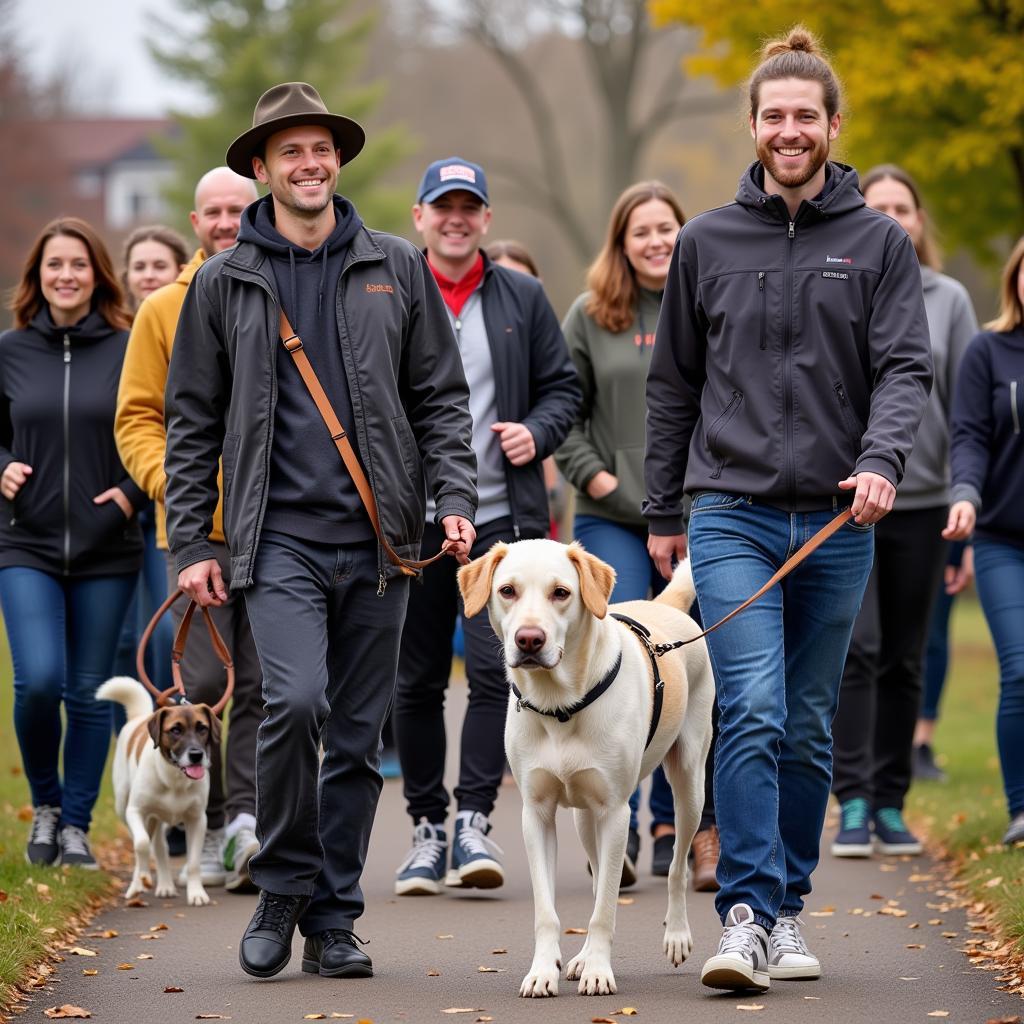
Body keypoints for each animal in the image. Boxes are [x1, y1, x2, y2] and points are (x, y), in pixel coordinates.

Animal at [96, 679, 220, 905]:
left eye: (202, 728)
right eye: (175, 730)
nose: (196, 755)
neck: (174, 779)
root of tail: (139, 717)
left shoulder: (197, 820)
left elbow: (194, 861)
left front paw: (196, 893)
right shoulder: (135, 812)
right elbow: (142, 844)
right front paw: (143, 878)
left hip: (159, 820)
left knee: (161, 847)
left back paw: (165, 885)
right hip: (124, 808)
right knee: (148, 845)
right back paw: (138, 884)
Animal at [460, 540, 716, 995]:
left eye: (561, 593)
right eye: (507, 591)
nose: (529, 639)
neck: (560, 705)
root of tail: (663, 604)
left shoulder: (615, 813)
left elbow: (605, 910)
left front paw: (598, 969)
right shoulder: (536, 815)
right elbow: (549, 910)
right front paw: (544, 971)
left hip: (690, 786)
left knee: (675, 868)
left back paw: (676, 935)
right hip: (584, 818)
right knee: (599, 877)